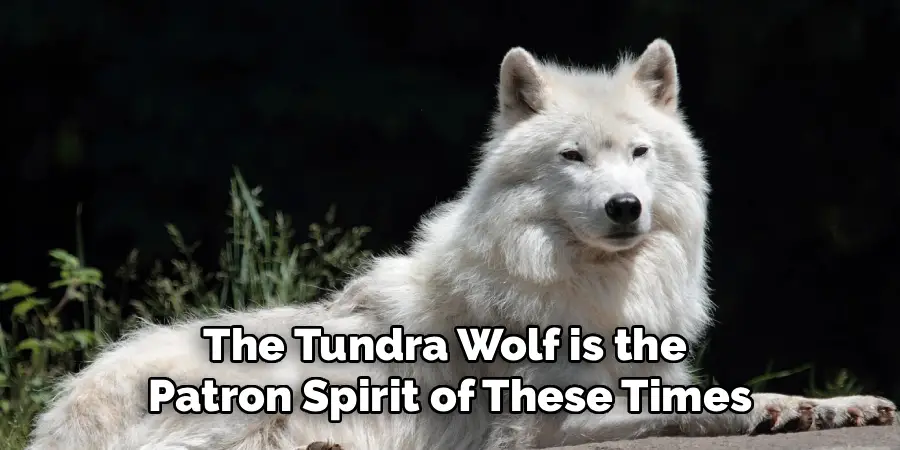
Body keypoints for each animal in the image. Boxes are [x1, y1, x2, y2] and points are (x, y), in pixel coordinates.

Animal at [27, 38, 895, 450]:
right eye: (572, 157)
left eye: (640, 154)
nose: (624, 208)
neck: (592, 291)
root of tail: (55, 418)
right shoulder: (539, 425)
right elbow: (694, 411)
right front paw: (770, 412)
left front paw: (840, 406)